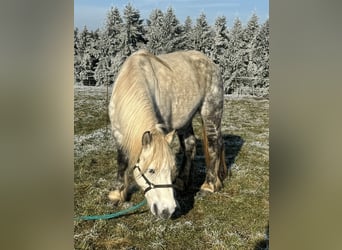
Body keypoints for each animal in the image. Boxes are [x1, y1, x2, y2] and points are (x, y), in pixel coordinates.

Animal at [108, 49, 227, 219]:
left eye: (171, 169)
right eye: (151, 170)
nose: (167, 211)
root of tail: (211, 63)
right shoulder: (118, 134)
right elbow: (122, 161)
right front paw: (117, 194)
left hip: (211, 111)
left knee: (213, 146)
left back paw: (208, 186)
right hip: (185, 119)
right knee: (190, 145)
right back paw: (182, 181)